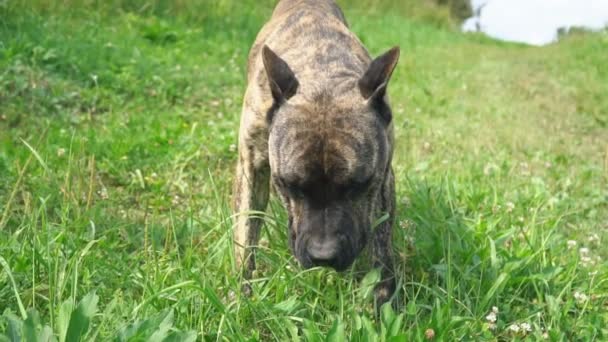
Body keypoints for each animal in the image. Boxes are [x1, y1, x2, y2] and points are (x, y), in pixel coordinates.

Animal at [233, 0, 400, 304]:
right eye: (288, 185)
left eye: (360, 185)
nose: (324, 256)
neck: (322, 76)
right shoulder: (251, 168)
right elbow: (245, 236)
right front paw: (241, 295)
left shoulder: (383, 179)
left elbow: (382, 249)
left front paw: (384, 303)